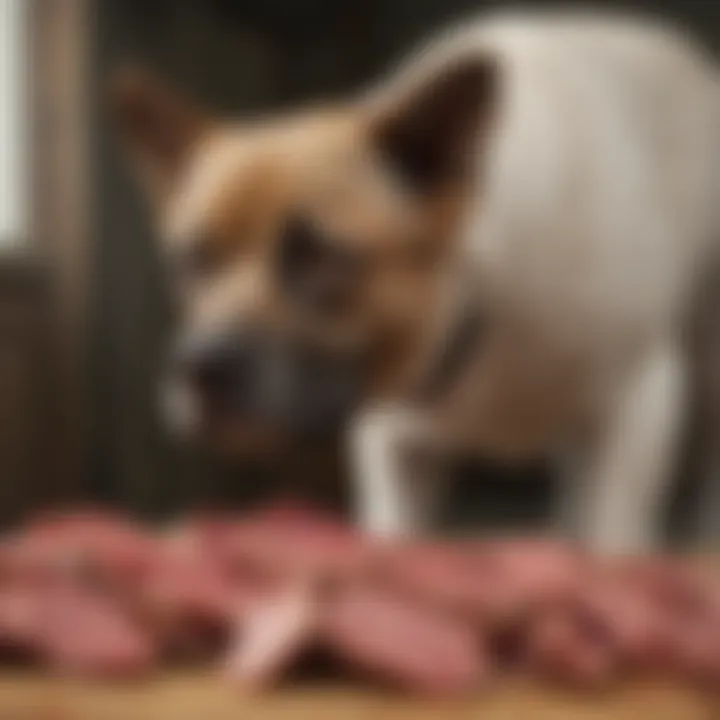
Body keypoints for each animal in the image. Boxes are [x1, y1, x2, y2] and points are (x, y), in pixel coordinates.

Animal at [111, 9, 720, 552]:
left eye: (319, 257)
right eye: (191, 261)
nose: (200, 369)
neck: (473, 291)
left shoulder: (638, 406)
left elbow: (613, 540)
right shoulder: (392, 449)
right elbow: (396, 540)